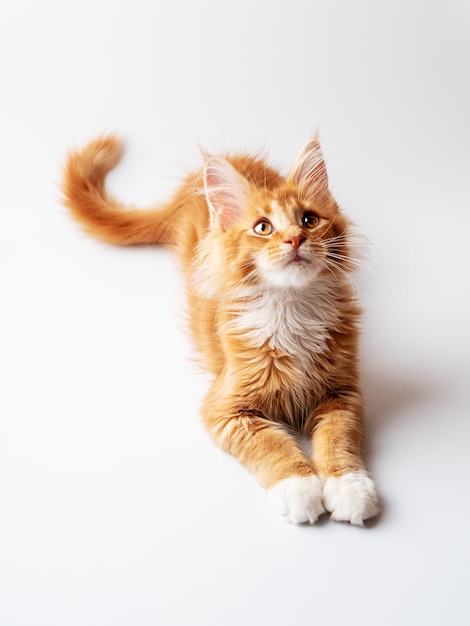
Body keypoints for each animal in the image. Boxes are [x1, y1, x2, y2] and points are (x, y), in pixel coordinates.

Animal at [61, 135, 378, 520]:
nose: (295, 240)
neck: (290, 309)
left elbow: (338, 438)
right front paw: (299, 489)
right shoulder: (225, 407)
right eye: (263, 227)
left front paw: (350, 488)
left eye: (309, 220)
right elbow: (272, 444)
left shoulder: (343, 393)